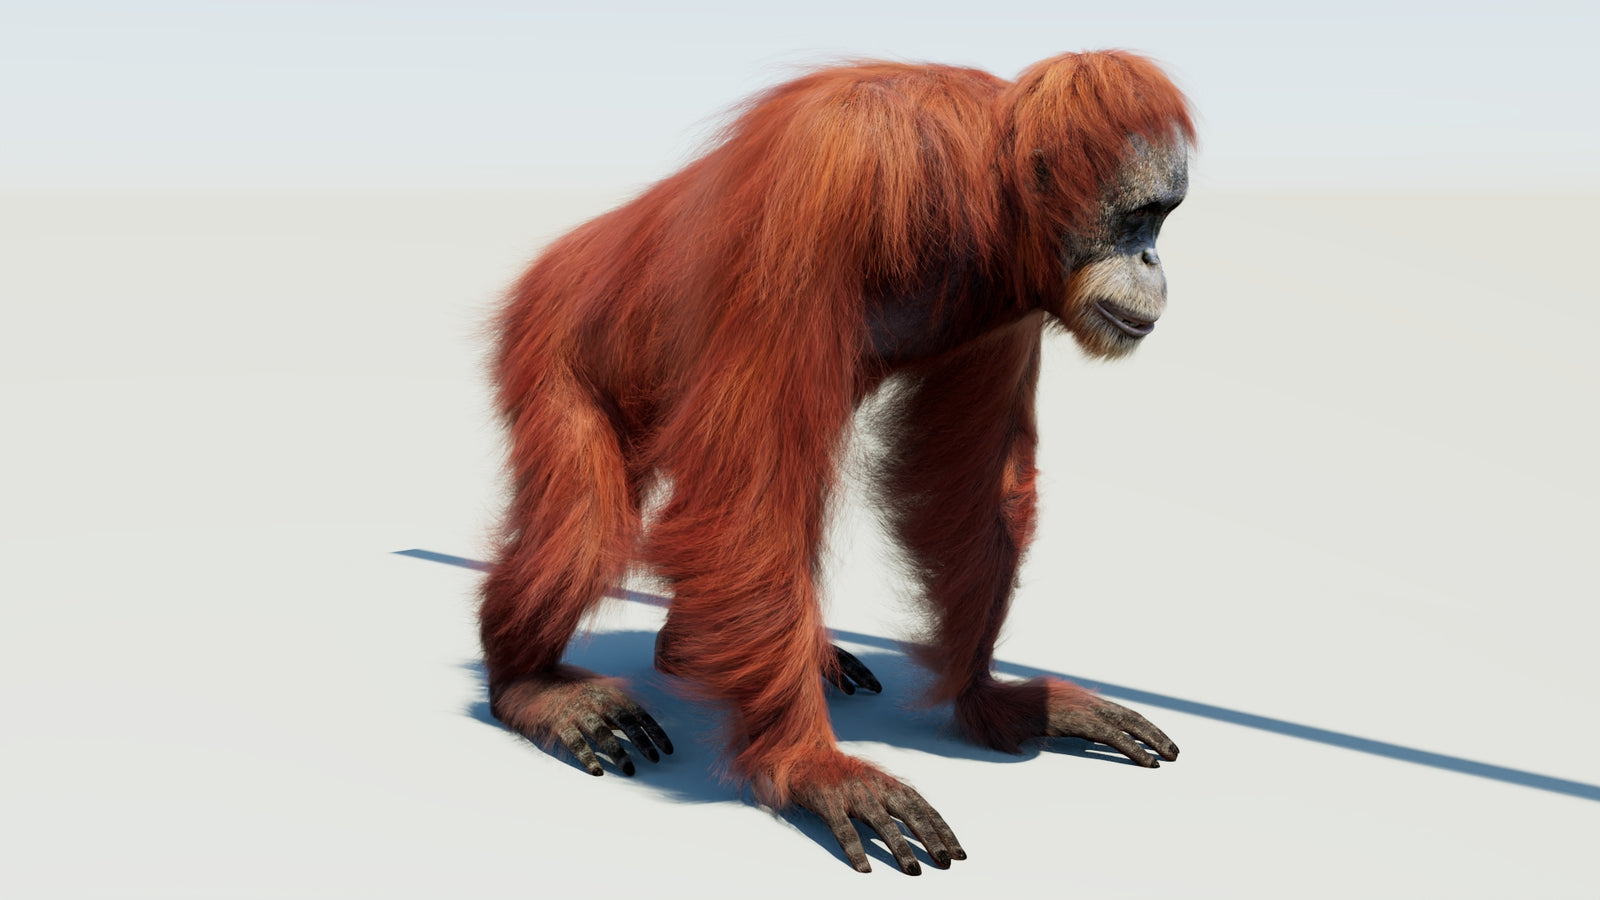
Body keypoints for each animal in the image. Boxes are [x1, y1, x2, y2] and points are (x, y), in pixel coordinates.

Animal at [478, 50, 1194, 874]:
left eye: (1164, 218)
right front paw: (809, 766)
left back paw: (692, 652)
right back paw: (530, 684)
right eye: (1140, 216)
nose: (1153, 259)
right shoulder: (829, 176)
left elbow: (964, 488)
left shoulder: (1013, 300)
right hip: (547, 336)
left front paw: (995, 702)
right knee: (592, 524)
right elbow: (751, 487)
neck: (975, 182)